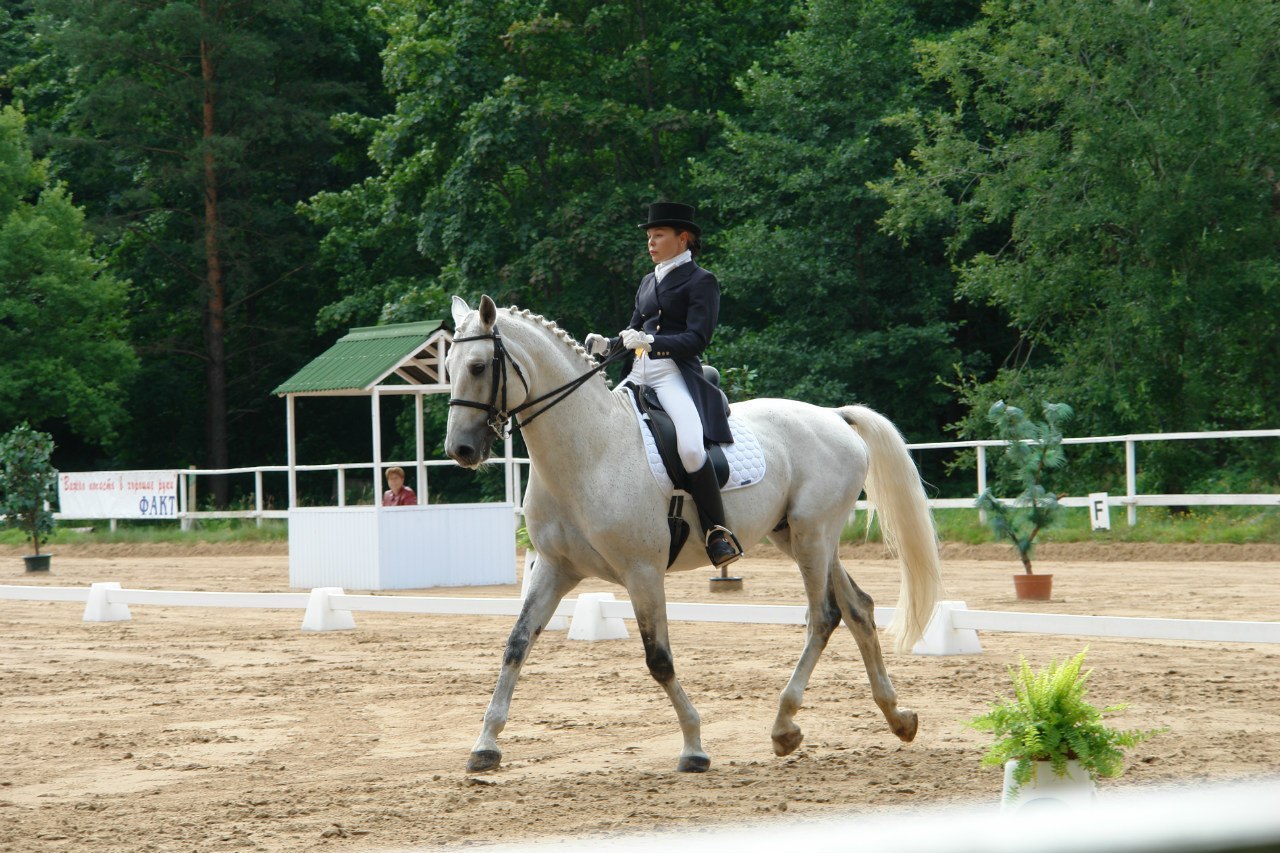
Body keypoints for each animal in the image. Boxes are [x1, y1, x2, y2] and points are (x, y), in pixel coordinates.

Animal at [448, 295, 942, 773]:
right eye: (448, 368)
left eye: (478, 367)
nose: (461, 450)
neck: (590, 452)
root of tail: (834, 416)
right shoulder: (555, 568)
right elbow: (516, 644)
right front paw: (485, 745)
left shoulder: (643, 573)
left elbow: (659, 659)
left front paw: (694, 746)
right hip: (801, 537)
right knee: (858, 609)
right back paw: (898, 718)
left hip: (812, 535)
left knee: (823, 617)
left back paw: (785, 726)